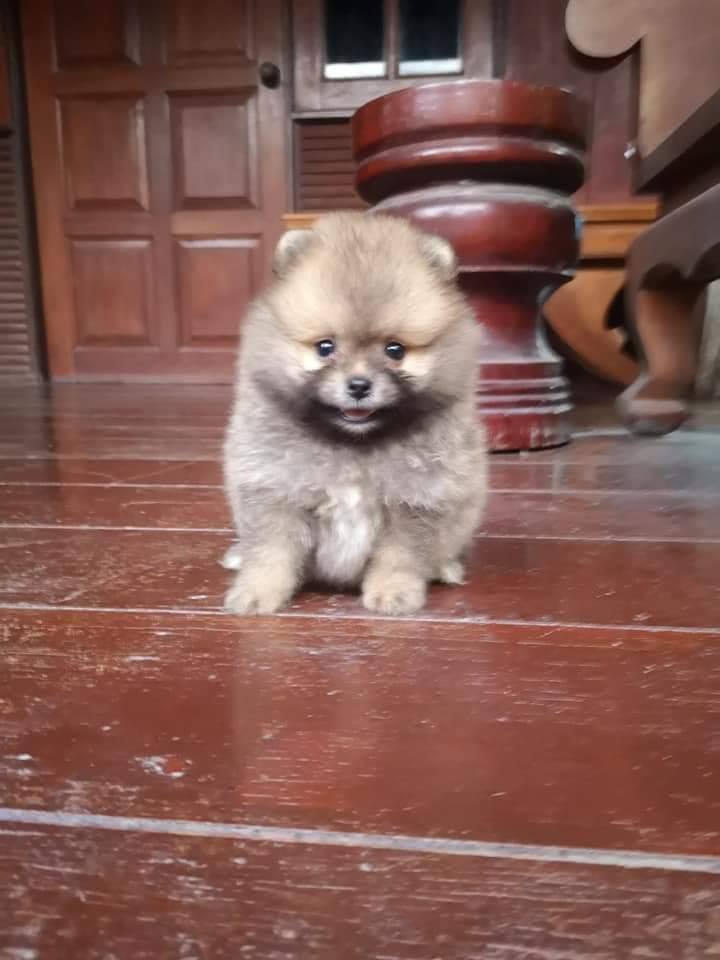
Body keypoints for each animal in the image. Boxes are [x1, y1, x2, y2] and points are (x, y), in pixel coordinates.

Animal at [222, 212, 486, 615]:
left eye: (395, 350)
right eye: (324, 347)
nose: (359, 385)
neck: (353, 447)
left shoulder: (414, 501)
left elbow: (399, 557)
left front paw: (394, 593)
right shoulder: (275, 491)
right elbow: (270, 552)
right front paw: (256, 593)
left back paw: (445, 567)